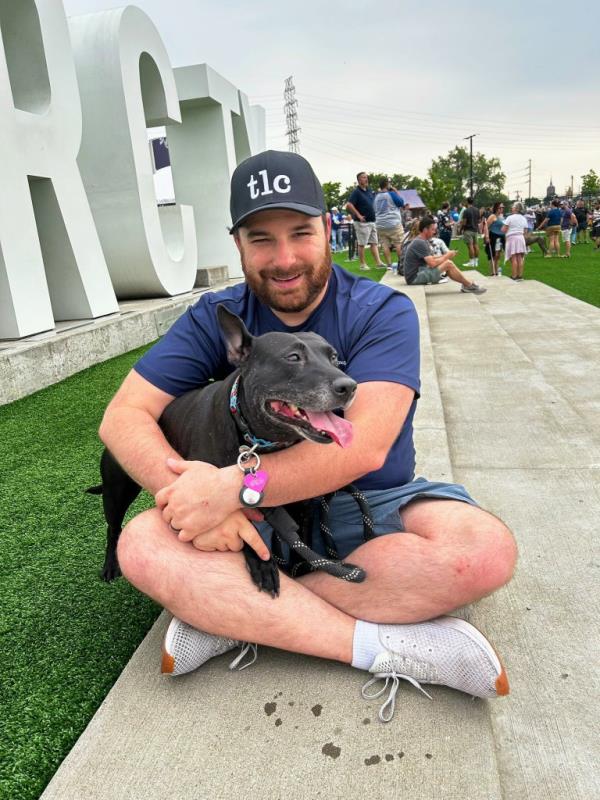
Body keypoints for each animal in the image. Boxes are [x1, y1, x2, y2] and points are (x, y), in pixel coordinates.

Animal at [88, 304, 360, 592]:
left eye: (334, 358)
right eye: (293, 357)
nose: (349, 386)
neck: (256, 439)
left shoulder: (303, 505)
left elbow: (302, 540)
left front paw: (302, 568)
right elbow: (246, 532)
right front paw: (263, 565)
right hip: (117, 491)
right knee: (113, 528)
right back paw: (110, 564)